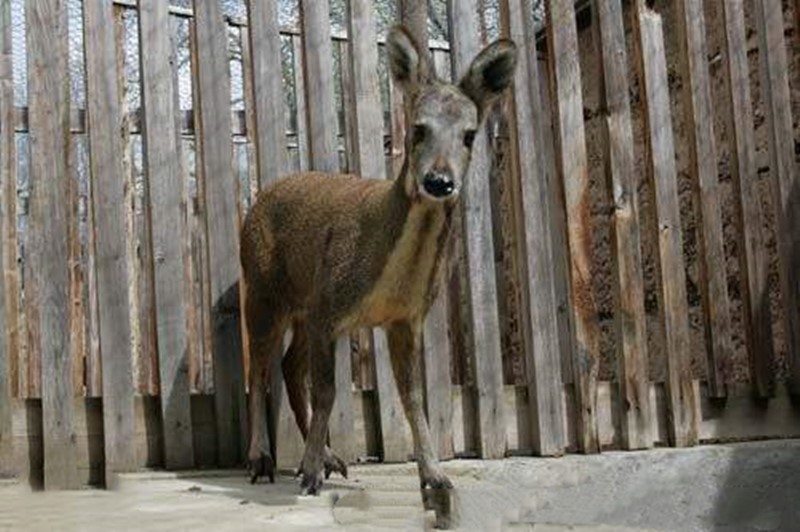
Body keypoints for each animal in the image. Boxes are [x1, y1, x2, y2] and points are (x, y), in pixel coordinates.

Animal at [239, 25, 520, 496]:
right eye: (419, 129)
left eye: (469, 134)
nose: (439, 181)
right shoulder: (329, 305)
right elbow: (329, 391)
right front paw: (310, 475)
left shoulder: (404, 318)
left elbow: (412, 396)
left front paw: (435, 477)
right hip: (261, 291)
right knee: (259, 369)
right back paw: (262, 460)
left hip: (301, 307)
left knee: (289, 367)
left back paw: (328, 458)